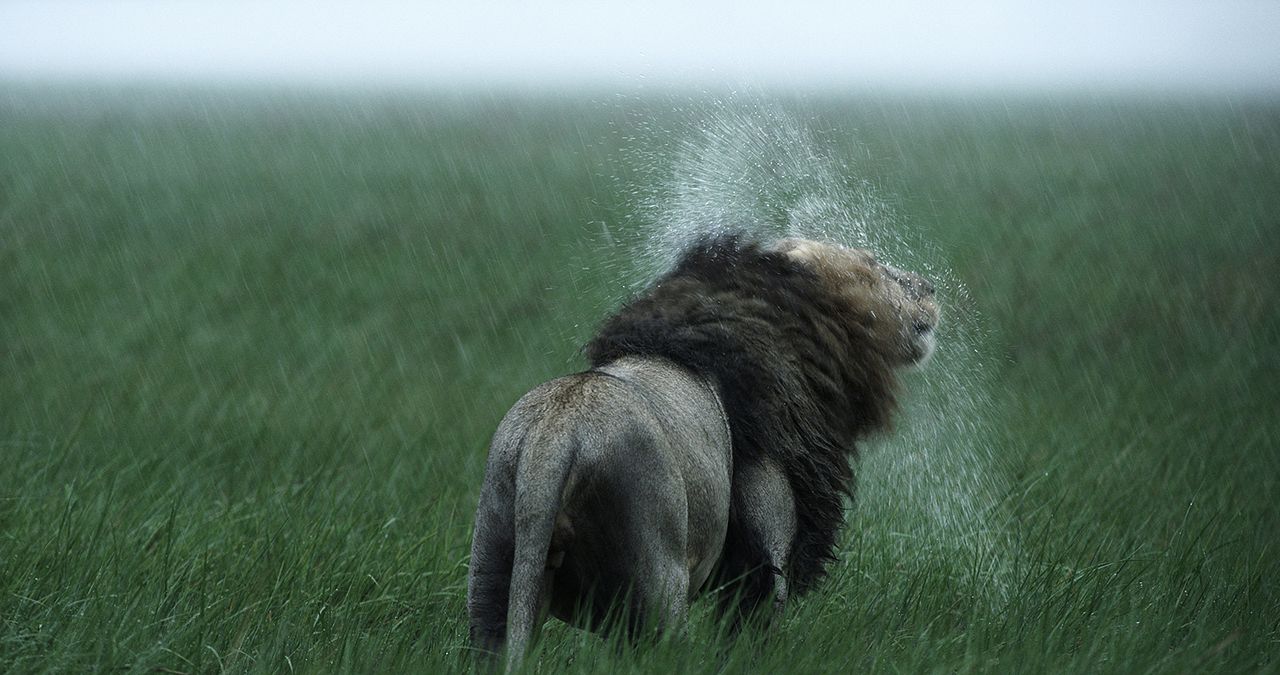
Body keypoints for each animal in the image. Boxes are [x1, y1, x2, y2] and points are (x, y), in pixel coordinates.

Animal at [465, 235, 936, 666]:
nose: (929, 286)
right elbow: (751, 631)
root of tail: (555, 437)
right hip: (660, 583)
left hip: (493, 565)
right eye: (872, 264)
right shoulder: (767, 539)